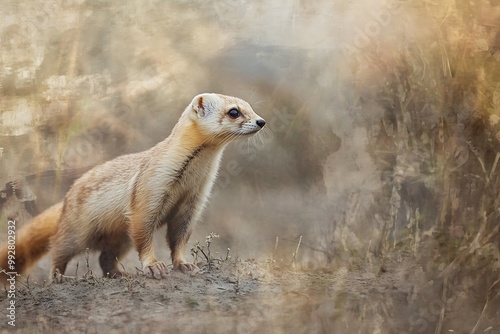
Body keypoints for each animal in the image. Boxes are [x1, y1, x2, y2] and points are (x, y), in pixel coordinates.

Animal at [0, 93, 266, 282]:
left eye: (251, 106)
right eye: (234, 111)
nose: (261, 121)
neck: (189, 179)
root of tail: (65, 200)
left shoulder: (194, 201)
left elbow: (179, 238)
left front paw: (186, 264)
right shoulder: (148, 193)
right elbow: (144, 234)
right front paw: (155, 267)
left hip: (119, 238)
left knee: (106, 258)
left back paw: (120, 273)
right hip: (76, 230)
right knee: (58, 248)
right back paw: (59, 277)